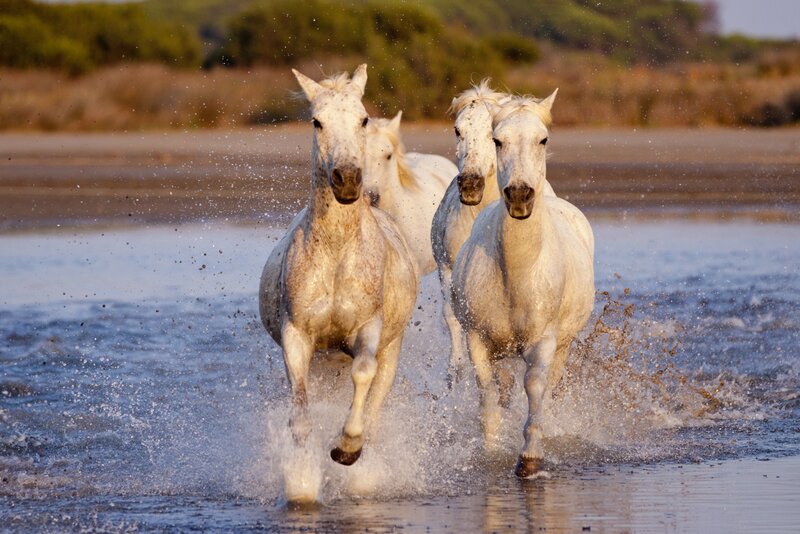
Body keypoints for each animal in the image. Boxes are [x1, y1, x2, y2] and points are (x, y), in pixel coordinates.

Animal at [259, 65, 419, 486]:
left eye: (363, 119)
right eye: (317, 121)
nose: (347, 179)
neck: (336, 254)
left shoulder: (368, 329)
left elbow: (363, 374)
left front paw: (346, 448)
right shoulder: (297, 335)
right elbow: (300, 413)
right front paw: (302, 477)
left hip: (391, 350)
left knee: (376, 402)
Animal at [431, 80, 556, 385]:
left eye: (492, 135)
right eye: (458, 130)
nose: (470, 185)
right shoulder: (449, 270)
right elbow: (453, 318)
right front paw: (455, 371)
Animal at [451, 91, 595, 478]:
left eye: (542, 139)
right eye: (498, 141)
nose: (519, 196)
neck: (517, 274)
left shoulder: (543, 341)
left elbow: (535, 388)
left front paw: (530, 458)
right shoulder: (477, 340)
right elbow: (487, 393)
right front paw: (489, 451)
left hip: (563, 344)